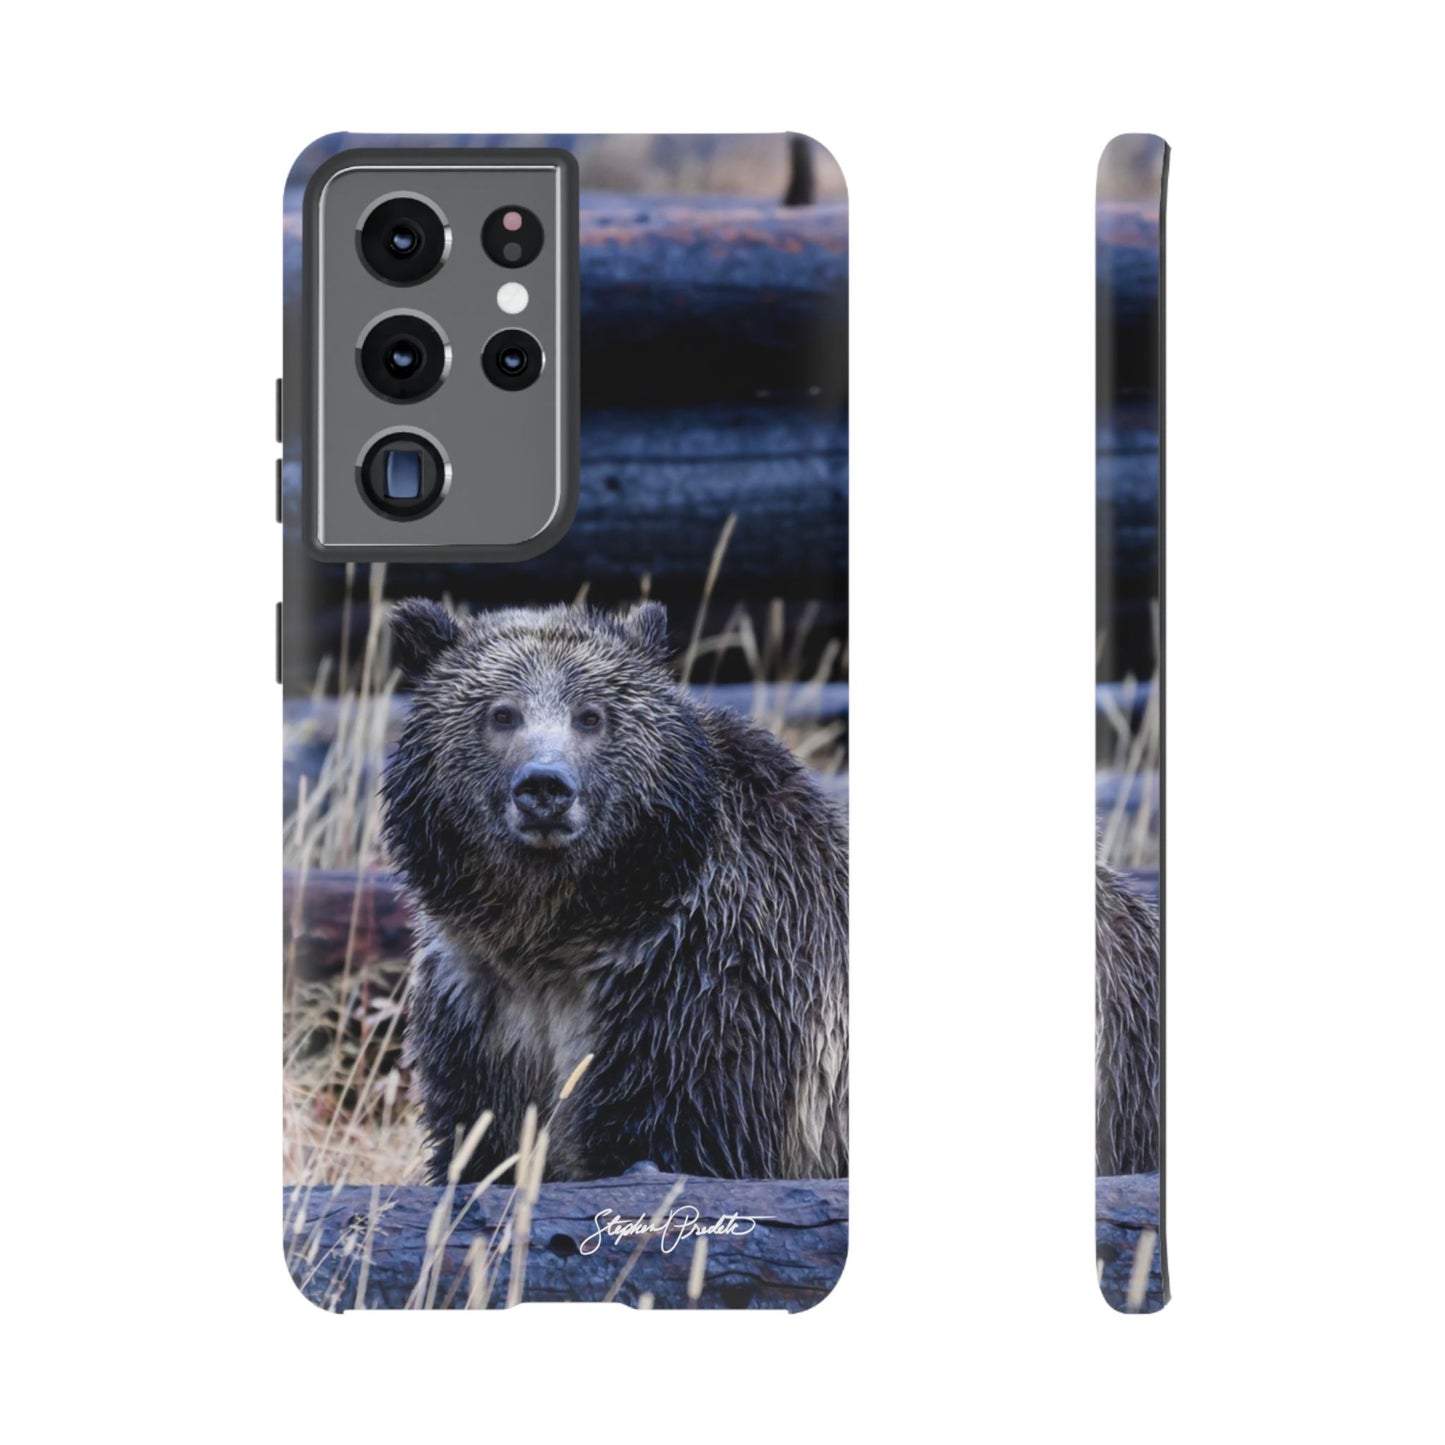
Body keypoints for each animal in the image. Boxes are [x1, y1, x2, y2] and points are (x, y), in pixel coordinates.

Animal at [380, 598, 849, 1186]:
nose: (545, 787)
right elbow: (477, 1137)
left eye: (591, 715)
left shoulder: (702, 984)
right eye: (502, 713)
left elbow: (678, 1131)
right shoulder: (479, 1002)